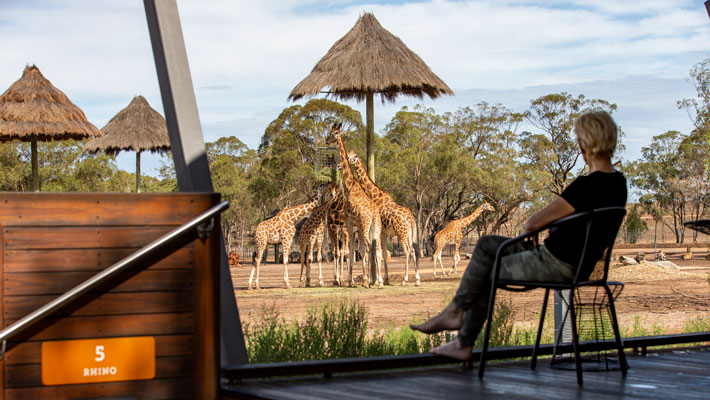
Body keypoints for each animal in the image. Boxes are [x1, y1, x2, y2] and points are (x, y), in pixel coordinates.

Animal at [326, 123, 386, 290]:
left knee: (367, 247)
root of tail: (373, 213)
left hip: (365, 226)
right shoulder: (354, 226)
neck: (351, 184)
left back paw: (368, 281)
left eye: (334, 133)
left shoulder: (349, 223)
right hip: (375, 227)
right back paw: (379, 282)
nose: (326, 140)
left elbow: (352, 250)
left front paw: (349, 280)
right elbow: (354, 250)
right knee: (377, 249)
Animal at [348, 149, 420, 284]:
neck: (374, 195)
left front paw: (376, 280)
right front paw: (385, 279)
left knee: (407, 250)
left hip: (401, 233)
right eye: (348, 156)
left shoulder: (380, 231)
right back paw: (417, 279)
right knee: (413, 250)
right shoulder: (385, 233)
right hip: (410, 233)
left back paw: (405, 279)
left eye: (353, 157)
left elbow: (378, 252)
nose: (341, 164)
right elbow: (384, 254)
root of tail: (411, 219)